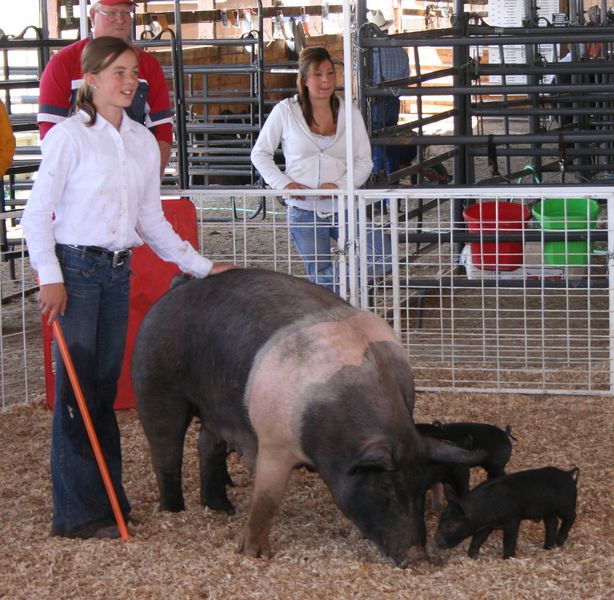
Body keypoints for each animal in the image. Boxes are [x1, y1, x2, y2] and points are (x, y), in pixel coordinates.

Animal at [134, 268, 482, 568]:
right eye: (384, 488)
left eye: (422, 488)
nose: (420, 561)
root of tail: (176, 289)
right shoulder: (274, 443)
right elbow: (267, 500)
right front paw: (253, 555)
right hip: (155, 383)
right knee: (166, 450)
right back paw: (173, 511)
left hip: (217, 410)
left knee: (208, 445)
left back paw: (222, 508)